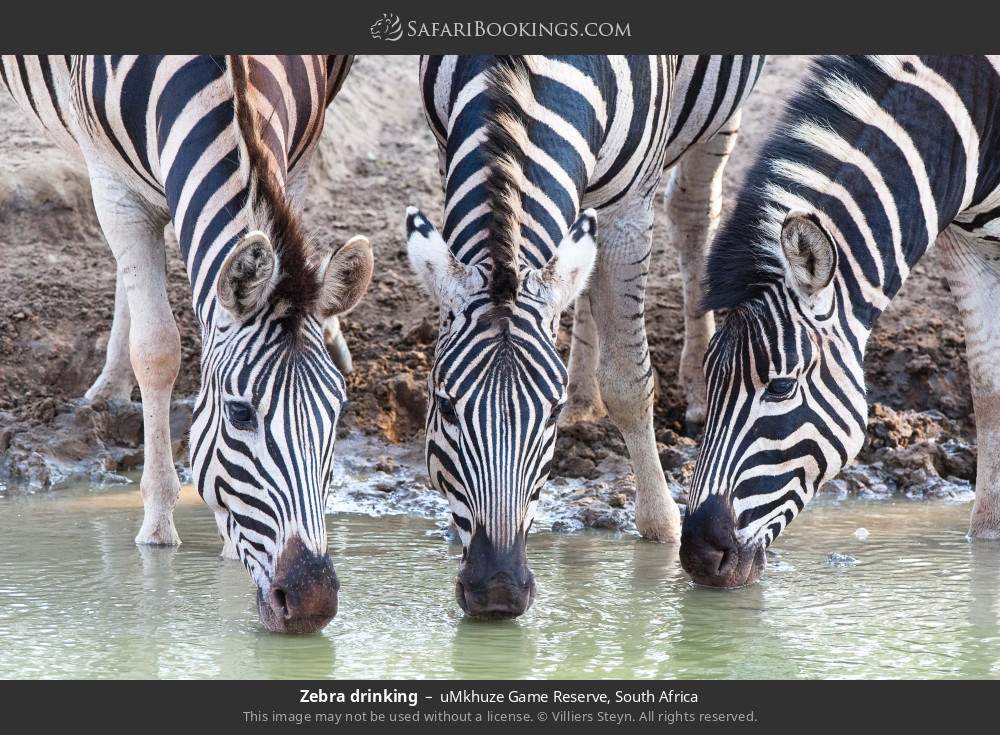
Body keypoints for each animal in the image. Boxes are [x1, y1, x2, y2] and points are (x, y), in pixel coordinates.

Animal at [1, 55, 373, 633]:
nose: (312, 603)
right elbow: (157, 347)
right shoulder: (115, 190)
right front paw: (157, 523)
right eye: (240, 414)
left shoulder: (299, 157)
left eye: (338, 413)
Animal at [407, 55, 763, 617]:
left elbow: (628, 382)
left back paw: (698, 384)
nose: (498, 591)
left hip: (718, 116)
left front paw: (660, 523)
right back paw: (582, 394)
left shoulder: (629, 211)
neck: (517, 79)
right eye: (444, 408)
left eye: (548, 417)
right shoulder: (449, 149)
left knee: (692, 210)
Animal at [680, 55, 1000, 588]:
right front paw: (988, 541)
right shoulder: (966, 246)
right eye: (707, 379)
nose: (699, 556)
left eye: (781, 387)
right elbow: (988, 388)